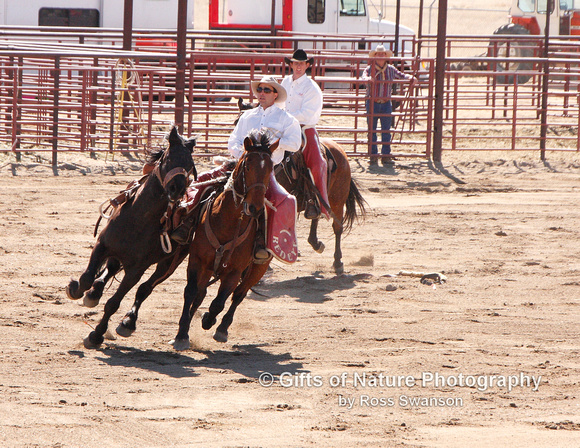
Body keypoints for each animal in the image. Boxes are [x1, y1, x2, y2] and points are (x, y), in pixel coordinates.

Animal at [66, 126, 197, 350]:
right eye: (169, 158)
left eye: (189, 165)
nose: (177, 189)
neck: (139, 218)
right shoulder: (102, 245)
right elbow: (86, 277)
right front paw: (75, 289)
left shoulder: (136, 270)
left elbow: (114, 303)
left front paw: (96, 335)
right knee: (109, 270)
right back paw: (93, 294)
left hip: (170, 263)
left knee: (145, 289)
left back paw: (128, 322)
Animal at [170, 130, 276, 350]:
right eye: (247, 165)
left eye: (270, 169)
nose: (254, 208)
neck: (228, 221)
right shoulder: (197, 260)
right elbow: (191, 292)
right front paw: (182, 333)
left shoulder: (234, 271)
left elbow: (220, 301)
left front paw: (209, 320)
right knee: (201, 294)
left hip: (258, 269)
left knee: (238, 296)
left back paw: (222, 328)